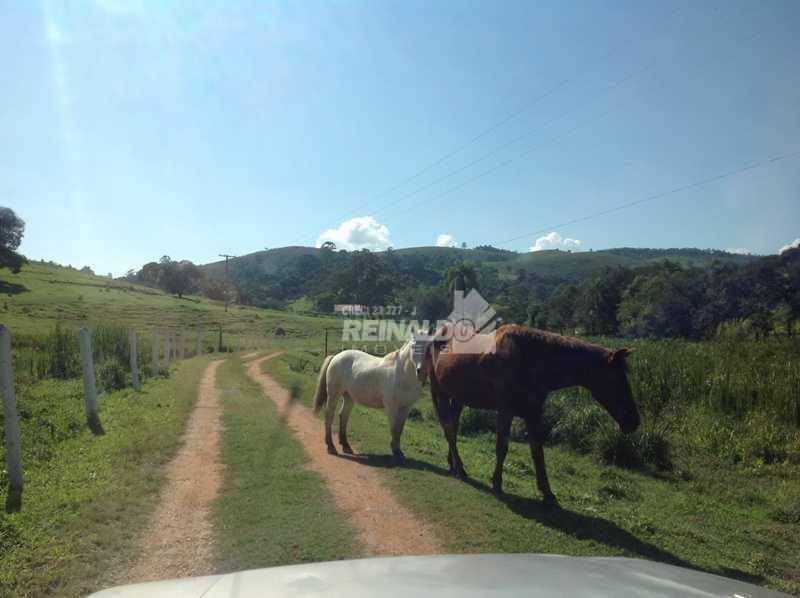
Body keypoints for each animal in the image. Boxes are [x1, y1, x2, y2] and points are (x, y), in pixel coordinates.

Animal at [424, 326, 636, 504]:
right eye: (617, 379)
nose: (634, 420)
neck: (530, 360)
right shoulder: (506, 411)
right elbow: (502, 447)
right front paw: (497, 483)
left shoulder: (533, 414)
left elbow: (537, 452)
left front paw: (548, 493)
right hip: (439, 393)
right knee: (450, 431)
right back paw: (460, 468)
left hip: (457, 398)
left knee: (452, 429)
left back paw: (453, 464)